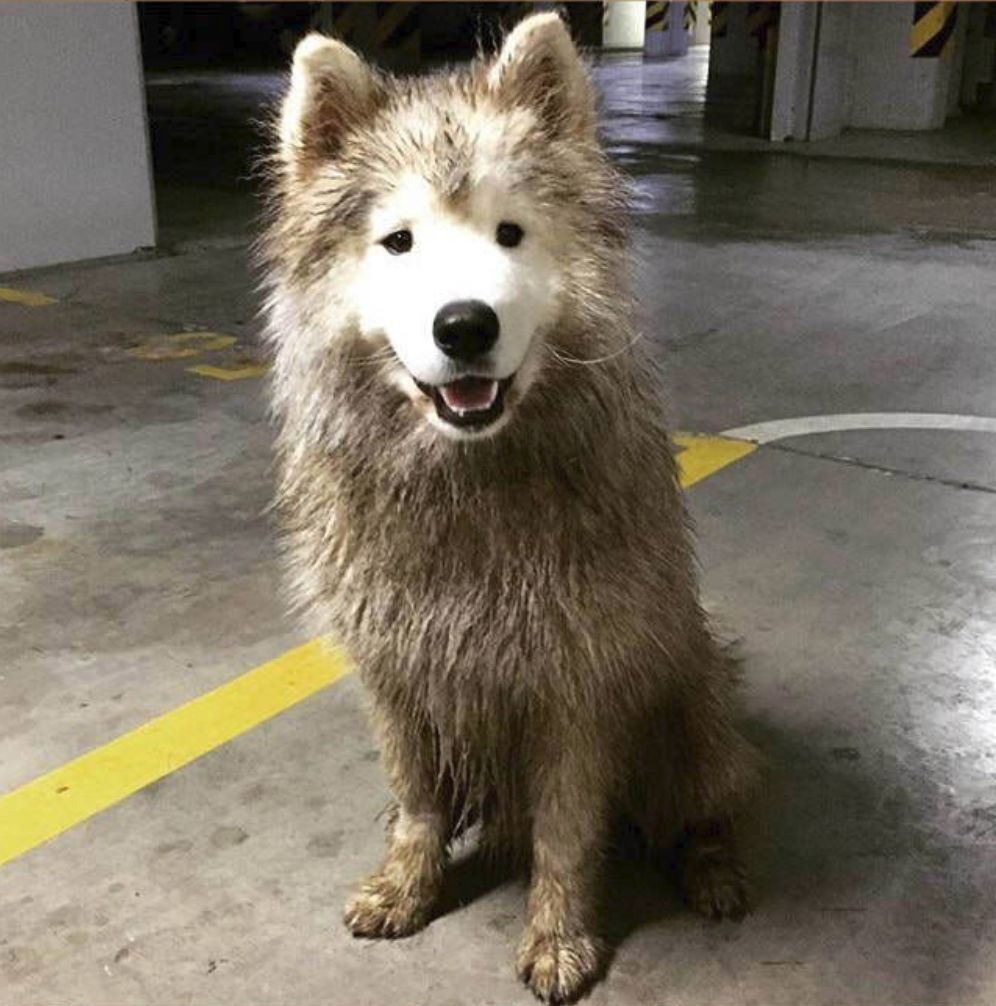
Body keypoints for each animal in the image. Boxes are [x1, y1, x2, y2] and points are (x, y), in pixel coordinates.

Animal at [261, 11, 760, 1001]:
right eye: (399, 241)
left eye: (511, 233)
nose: (465, 326)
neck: (470, 486)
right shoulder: (395, 668)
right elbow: (417, 798)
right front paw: (406, 884)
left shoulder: (578, 684)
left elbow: (568, 833)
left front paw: (561, 935)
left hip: (694, 724)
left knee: (708, 805)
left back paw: (713, 867)